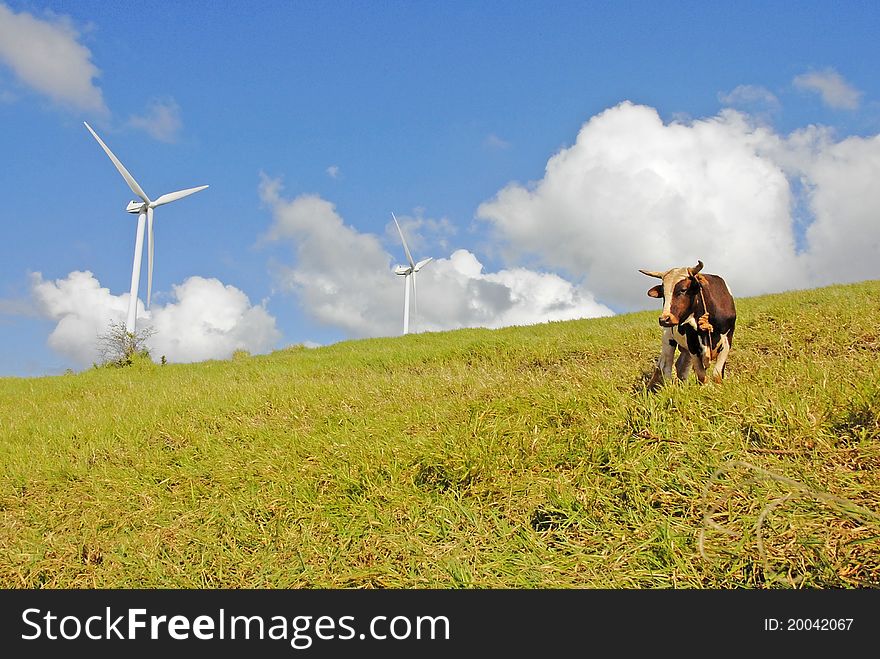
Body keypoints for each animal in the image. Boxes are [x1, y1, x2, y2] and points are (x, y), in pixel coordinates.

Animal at [640, 260, 736, 390]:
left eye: (683, 289)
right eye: (663, 294)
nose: (664, 319)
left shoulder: (727, 339)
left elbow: (717, 373)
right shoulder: (692, 343)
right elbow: (701, 374)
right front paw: (706, 389)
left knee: (681, 366)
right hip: (668, 339)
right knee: (666, 366)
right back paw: (671, 387)